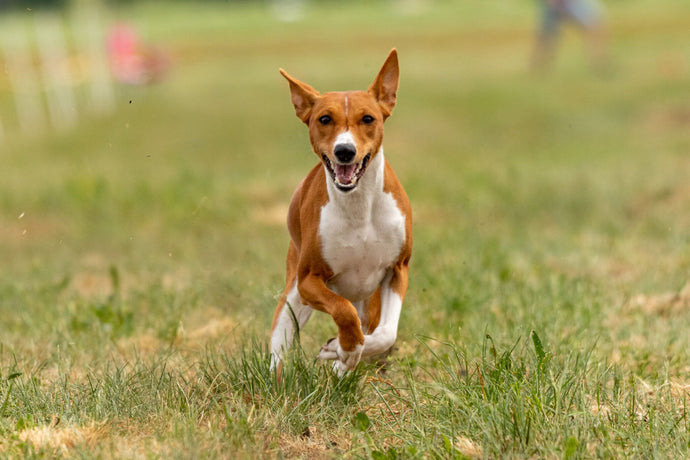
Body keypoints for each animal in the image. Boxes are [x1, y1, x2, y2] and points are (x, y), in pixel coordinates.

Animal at [268, 48, 408, 376]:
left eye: (368, 118)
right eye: (324, 119)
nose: (345, 151)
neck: (359, 208)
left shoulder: (397, 269)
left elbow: (385, 334)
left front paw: (341, 353)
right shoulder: (310, 280)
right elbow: (344, 313)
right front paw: (344, 348)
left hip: (368, 299)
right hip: (294, 296)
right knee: (278, 349)